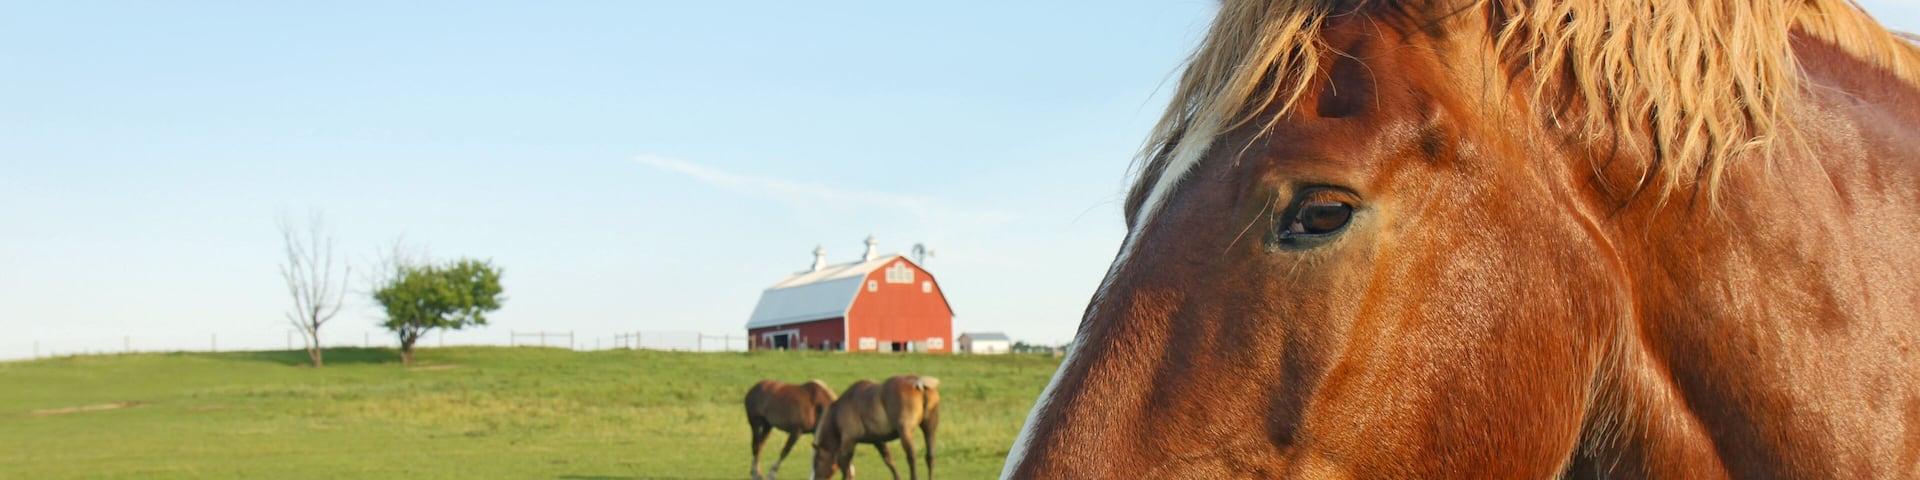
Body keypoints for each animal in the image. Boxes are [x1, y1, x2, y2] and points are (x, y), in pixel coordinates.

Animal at [812, 376, 940, 480]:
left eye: (817, 462)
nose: (817, 478)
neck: (839, 411)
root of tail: (919, 384)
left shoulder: (849, 439)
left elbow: (845, 464)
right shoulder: (878, 441)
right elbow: (889, 461)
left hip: (905, 433)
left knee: (912, 457)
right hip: (930, 430)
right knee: (930, 457)